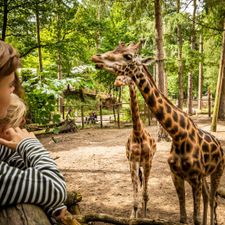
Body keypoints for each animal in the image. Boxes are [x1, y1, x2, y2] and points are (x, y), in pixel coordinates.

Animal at [115, 75, 156, 218]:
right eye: (117, 77)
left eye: (125, 77)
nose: (116, 82)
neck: (138, 133)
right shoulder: (133, 161)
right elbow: (135, 193)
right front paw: (134, 215)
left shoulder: (148, 161)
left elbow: (145, 194)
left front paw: (145, 216)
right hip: (134, 164)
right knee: (138, 183)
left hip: (146, 163)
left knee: (143, 185)